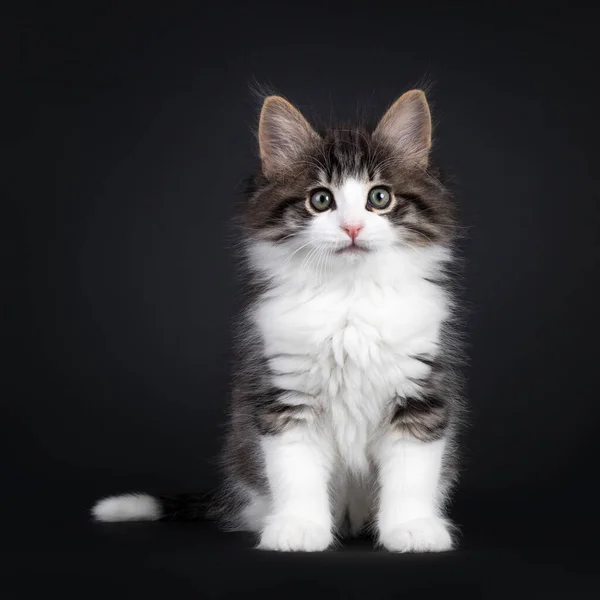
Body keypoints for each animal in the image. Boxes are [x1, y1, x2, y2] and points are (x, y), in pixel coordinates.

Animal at [95, 90, 468, 552]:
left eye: (379, 198)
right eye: (321, 200)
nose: (352, 227)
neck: (348, 297)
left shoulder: (420, 391)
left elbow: (411, 473)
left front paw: (412, 528)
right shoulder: (285, 393)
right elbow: (295, 470)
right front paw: (298, 528)